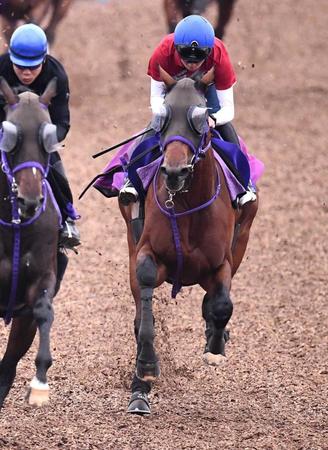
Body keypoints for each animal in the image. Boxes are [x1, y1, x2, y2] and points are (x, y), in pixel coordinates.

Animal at [119, 67, 258, 414]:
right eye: (163, 116)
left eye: (200, 118)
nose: (174, 171)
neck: (186, 203)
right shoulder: (147, 253)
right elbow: (145, 314)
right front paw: (146, 369)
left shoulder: (223, 261)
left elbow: (222, 304)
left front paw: (215, 346)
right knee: (139, 316)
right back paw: (139, 392)